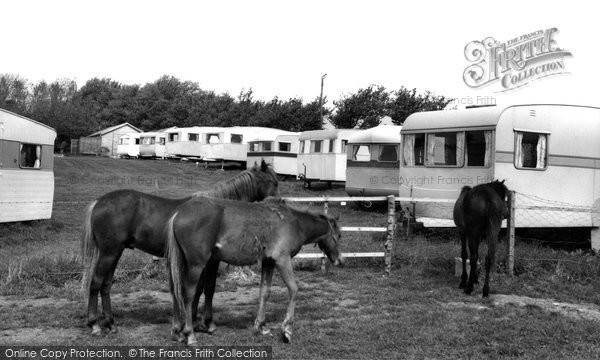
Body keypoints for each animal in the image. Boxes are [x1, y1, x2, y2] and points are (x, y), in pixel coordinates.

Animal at [81, 160, 278, 334]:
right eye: (273, 182)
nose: (277, 204)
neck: (220, 209)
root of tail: (98, 202)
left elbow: (197, 290)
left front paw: (193, 321)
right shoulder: (211, 261)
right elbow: (209, 288)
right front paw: (207, 323)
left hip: (116, 252)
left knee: (106, 285)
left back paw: (110, 323)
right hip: (109, 253)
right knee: (96, 283)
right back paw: (95, 324)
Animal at [165, 197, 342, 346]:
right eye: (339, 236)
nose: (340, 260)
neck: (295, 223)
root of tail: (178, 214)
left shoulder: (268, 262)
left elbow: (265, 291)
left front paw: (261, 326)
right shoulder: (282, 259)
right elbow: (294, 289)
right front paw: (287, 330)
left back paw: (179, 333)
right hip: (196, 264)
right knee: (188, 295)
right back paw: (190, 335)